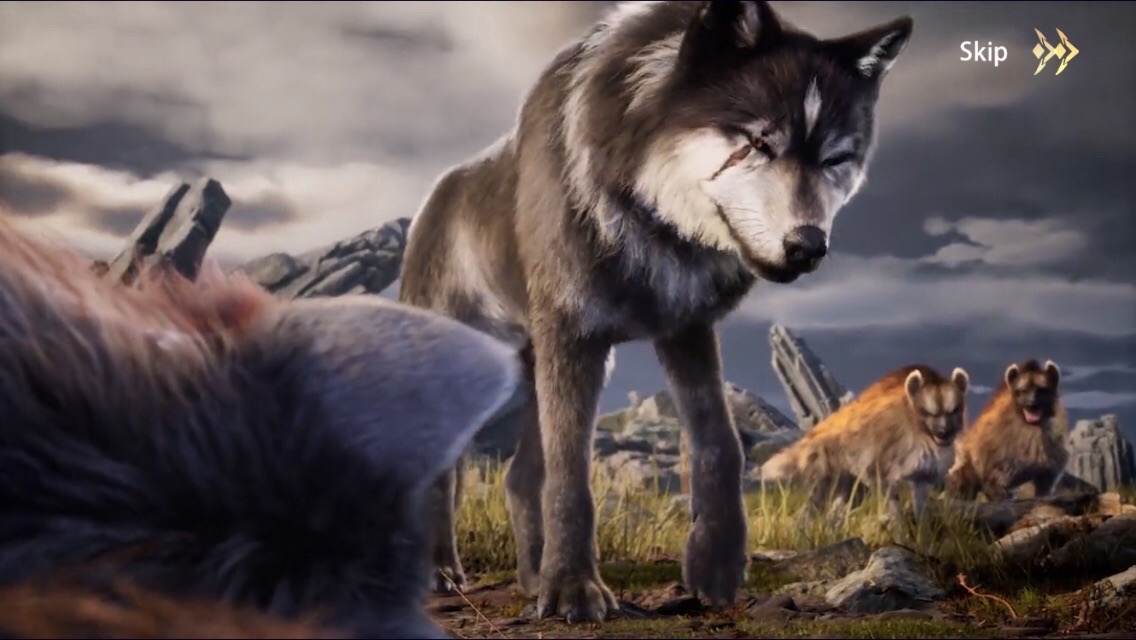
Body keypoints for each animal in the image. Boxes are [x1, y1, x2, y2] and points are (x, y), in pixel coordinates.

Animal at [399, 0, 914, 621]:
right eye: (758, 142)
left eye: (836, 158)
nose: (809, 246)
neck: (654, 229)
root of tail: (434, 198)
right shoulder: (575, 336)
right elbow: (571, 475)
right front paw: (573, 589)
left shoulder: (684, 328)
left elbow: (720, 444)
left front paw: (716, 567)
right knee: (446, 472)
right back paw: (441, 572)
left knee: (520, 477)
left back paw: (529, 577)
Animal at [761, 365, 970, 519]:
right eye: (928, 413)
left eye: (955, 410)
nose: (944, 433)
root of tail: (808, 437)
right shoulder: (883, 462)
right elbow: (894, 506)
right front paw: (902, 532)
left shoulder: (925, 474)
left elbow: (921, 505)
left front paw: (921, 537)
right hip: (823, 468)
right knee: (814, 505)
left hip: (848, 480)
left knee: (841, 506)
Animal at [947, 359, 1069, 502]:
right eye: (1022, 391)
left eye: (1042, 390)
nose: (1031, 404)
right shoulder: (1000, 453)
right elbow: (996, 483)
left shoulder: (1051, 452)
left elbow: (1045, 483)